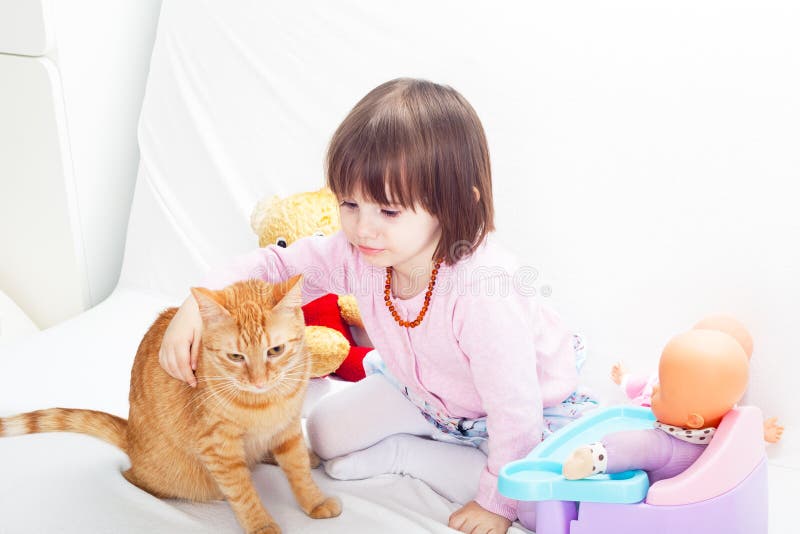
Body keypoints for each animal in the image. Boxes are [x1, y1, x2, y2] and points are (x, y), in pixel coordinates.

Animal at [0, 276, 340, 534]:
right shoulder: (218, 448)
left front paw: (314, 501)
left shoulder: (288, 428)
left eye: (275, 350)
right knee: (136, 479)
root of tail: (130, 436)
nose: (258, 380)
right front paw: (261, 525)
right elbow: (243, 493)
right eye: (236, 357)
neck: (264, 403)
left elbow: (297, 470)